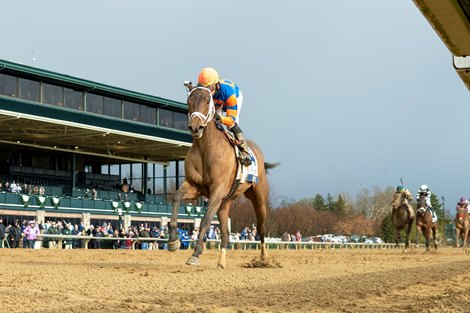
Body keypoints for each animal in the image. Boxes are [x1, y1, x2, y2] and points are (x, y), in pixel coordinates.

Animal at [169, 85, 278, 268]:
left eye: (207, 101)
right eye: (188, 101)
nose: (195, 128)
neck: (205, 148)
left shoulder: (217, 191)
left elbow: (205, 220)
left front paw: (195, 254)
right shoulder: (194, 187)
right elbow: (176, 197)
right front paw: (172, 241)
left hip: (259, 198)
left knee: (261, 228)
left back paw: (264, 258)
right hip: (225, 203)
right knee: (226, 234)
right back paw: (221, 261)